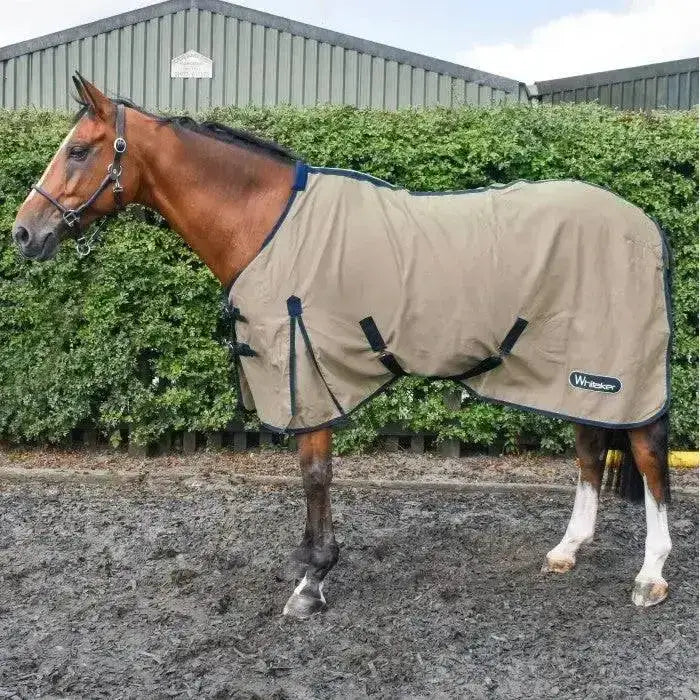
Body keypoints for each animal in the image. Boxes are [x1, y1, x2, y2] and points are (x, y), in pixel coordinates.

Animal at [12, 74, 673, 619]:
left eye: (79, 149)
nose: (23, 233)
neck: (268, 224)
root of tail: (645, 224)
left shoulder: (305, 370)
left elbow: (314, 473)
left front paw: (312, 581)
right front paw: (311, 565)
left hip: (616, 371)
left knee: (647, 455)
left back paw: (650, 576)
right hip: (574, 373)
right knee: (590, 451)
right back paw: (568, 550)